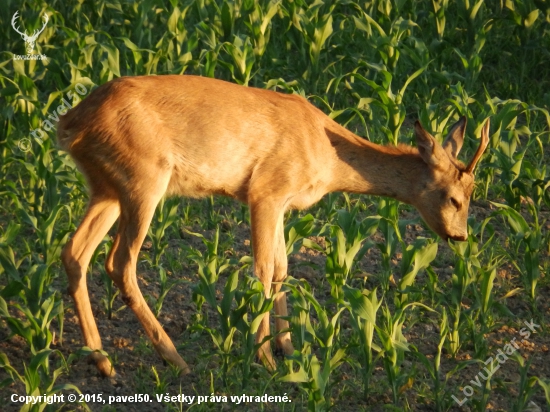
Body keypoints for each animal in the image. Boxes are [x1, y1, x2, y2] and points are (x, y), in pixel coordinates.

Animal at [59, 75, 492, 376]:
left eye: (473, 194)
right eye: (453, 198)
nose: (460, 235)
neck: (327, 152)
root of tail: (71, 123)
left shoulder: (283, 203)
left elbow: (283, 268)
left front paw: (289, 348)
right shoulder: (265, 191)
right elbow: (262, 270)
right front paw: (264, 356)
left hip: (106, 187)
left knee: (75, 251)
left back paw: (102, 361)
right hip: (144, 181)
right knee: (120, 262)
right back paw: (174, 358)